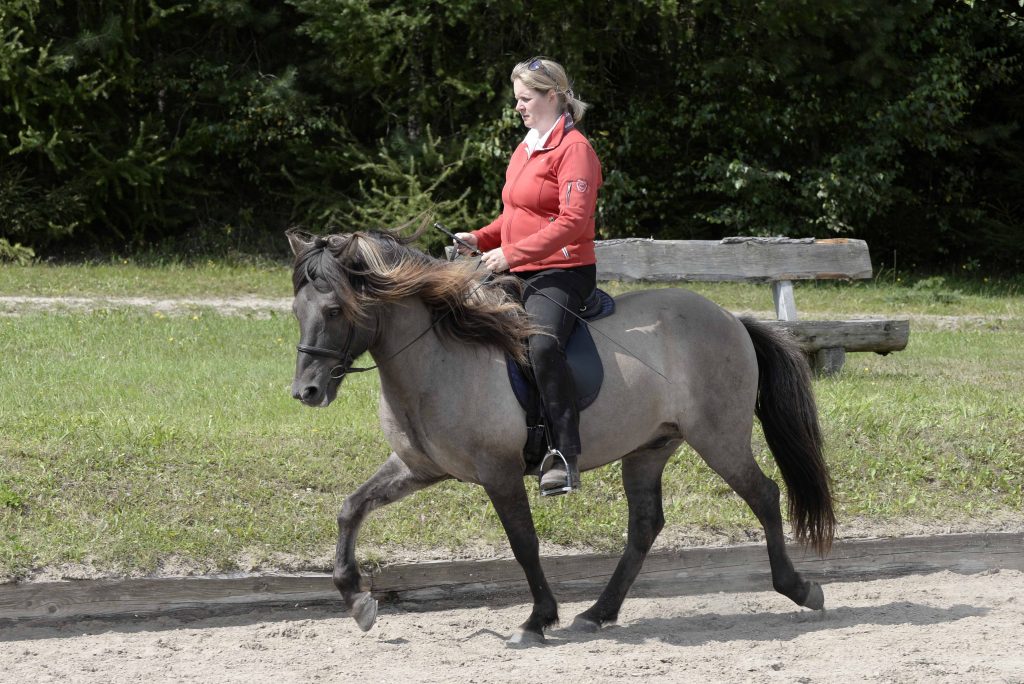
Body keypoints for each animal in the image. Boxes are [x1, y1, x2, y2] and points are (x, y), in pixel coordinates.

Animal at [286, 229, 831, 647]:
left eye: (334, 310)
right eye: (296, 310)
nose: (305, 391)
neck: (439, 356)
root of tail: (730, 318)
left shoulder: (499, 472)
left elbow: (523, 543)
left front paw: (537, 619)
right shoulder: (419, 467)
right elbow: (351, 508)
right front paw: (357, 599)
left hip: (719, 438)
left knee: (764, 495)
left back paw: (800, 588)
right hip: (649, 448)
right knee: (645, 526)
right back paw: (598, 612)